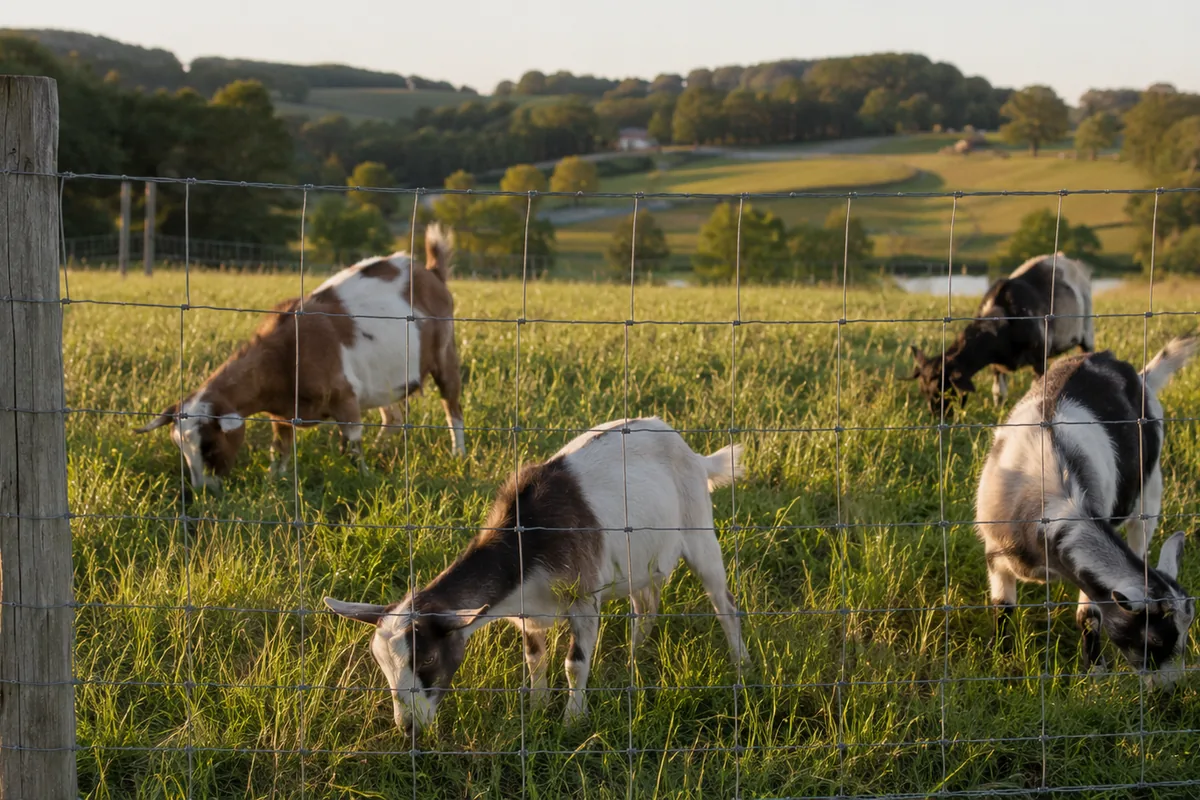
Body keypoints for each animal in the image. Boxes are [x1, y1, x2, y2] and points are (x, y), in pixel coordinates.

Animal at [134, 224, 464, 489]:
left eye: (210, 446)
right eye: (182, 449)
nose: (202, 490)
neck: (285, 356)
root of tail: (431, 272)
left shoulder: (344, 397)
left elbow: (353, 444)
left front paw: (364, 477)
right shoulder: (282, 413)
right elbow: (280, 449)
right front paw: (273, 482)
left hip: (445, 354)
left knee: (452, 405)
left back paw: (458, 454)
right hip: (384, 379)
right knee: (393, 417)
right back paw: (383, 447)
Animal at [325, 416, 750, 733]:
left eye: (427, 659)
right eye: (381, 663)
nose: (409, 727)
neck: (526, 543)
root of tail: (694, 454)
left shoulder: (583, 596)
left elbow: (574, 663)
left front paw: (572, 721)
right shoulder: (527, 612)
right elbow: (534, 658)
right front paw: (537, 705)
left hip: (698, 529)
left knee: (724, 602)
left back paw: (741, 664)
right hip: (639, 561)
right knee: (646, 604)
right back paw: (633, 659)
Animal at [909, 253, 1094, 418]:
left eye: (944, 390)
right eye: (923, 391)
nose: (937, 417)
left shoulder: (1039, 357)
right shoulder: (996, 365)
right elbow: (999, 393)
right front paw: (998, 414)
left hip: (1087, 329)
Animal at [975, 336, 1196, 688]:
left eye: (1186, 635)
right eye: (1155, 639)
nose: (1171, 688)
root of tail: (1139, 375)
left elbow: (1089, 615)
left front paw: (1095, 671)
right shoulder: (995, 553)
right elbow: (1003, 607)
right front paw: (1001, 661)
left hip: (1149, 491)